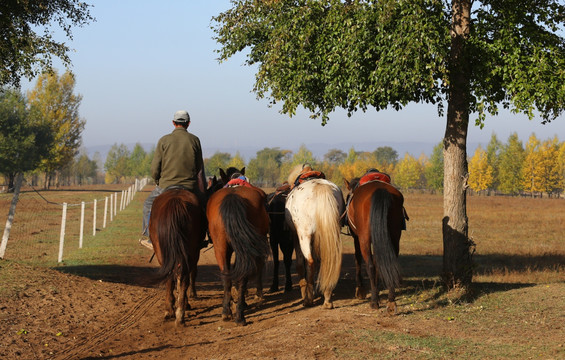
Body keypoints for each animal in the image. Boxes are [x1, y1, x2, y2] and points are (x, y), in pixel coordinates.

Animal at [148, 188, 205, 326]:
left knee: (174, 276)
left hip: (164, 252)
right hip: (190, 251)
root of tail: (176, 201)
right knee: (182, 277)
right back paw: (179, 313)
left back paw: (171, 311)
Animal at [206, 180, 270, 326]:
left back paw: (228, 312)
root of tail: (233, 196)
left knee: (227, 275)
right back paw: (239, 314)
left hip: (221, 247)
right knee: (239, 275)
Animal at [282, 165, 344, 308]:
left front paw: (305, 291)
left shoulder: (296, 236)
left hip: (304, 235)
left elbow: (300, 264)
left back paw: (308, 299)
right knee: (327, 260)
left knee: (310, 262)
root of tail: (320, 188)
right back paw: (327, 297)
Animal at [344, 179, 406, 314]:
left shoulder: (357, 238)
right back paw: (391, 301)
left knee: (370, 266)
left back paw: (374, 301)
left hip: (364, 239)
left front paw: (360, 290)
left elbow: (358, 259)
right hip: (394, 237)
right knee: (389, 264)